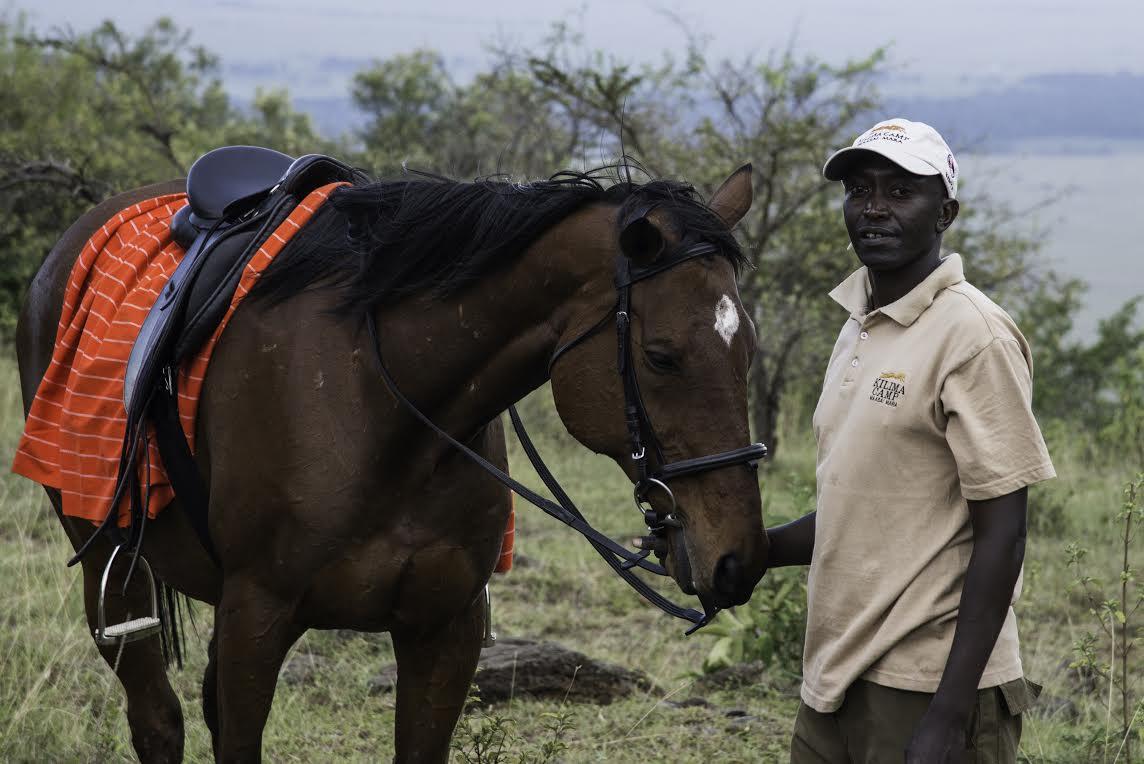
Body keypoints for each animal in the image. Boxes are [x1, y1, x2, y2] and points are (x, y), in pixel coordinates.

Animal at [14, 161, 768, 762]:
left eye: (747, 350)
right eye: (661, 356)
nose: (738, 559)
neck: (386, 410)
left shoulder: (444, 631)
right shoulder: (256, 617)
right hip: (110, 568)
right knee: (157, 720)